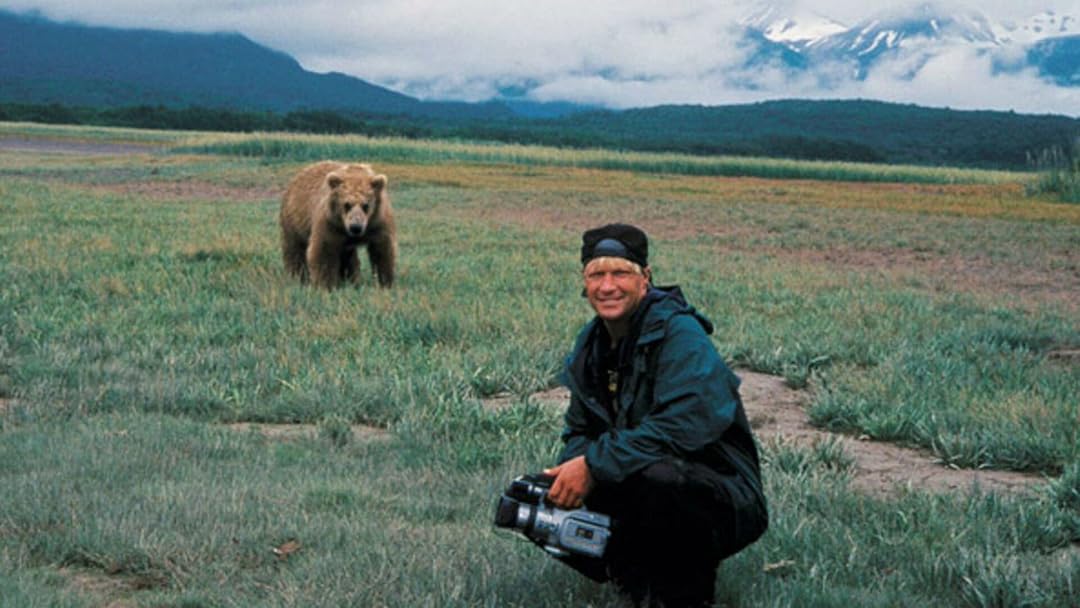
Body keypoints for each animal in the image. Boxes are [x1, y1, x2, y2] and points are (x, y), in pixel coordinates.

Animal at [279, 161, 396, 289]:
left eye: (366, 205)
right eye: (347, 204)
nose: (355, 227)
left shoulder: (378, 223)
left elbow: (382, 251)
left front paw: (385, 282)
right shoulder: (330, 223)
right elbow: (324, 251)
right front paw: (326, 285)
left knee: (348, 258)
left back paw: (350, 279)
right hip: (295, 221)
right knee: (294, 249)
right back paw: (297, 276)